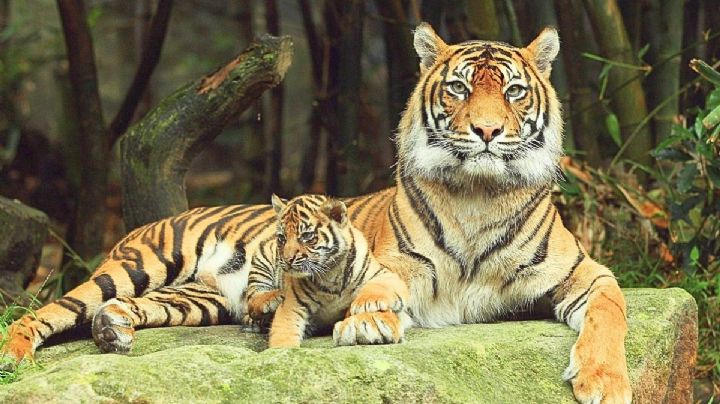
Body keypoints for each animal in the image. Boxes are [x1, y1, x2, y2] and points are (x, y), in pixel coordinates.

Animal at [246, 194, 409, 348]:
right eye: (282, 237)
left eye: (306, 235)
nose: (287, 259)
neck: (331, 273)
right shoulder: (292, 307)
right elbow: (283, 336)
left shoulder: (384, 273)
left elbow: (380, 285)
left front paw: (366, 303)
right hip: (262, 259)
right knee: (252, 299)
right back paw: (275, 297)